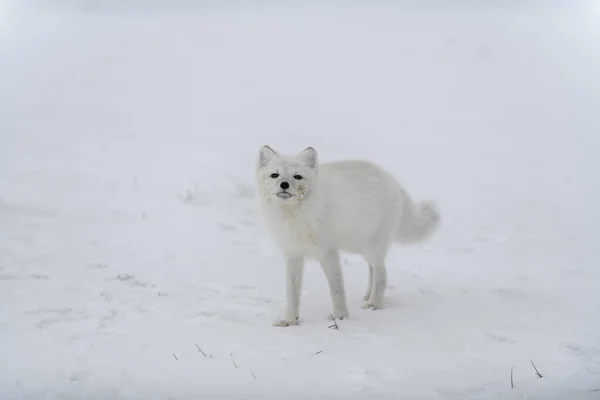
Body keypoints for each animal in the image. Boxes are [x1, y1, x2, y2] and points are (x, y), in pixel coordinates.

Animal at [255, 145, 438, 326]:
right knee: (372, 268)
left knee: (381, 273)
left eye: (297, 176)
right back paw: (368, 295)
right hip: (360, 245)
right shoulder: (293, 254)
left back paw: (374, 303)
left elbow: (336, 287)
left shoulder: (329, 252)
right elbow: (292, 293)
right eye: (275, 175)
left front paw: (340, 317)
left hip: (373, 245)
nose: (284, 184)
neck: (295, 216)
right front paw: (290, 320)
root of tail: (393, 180)